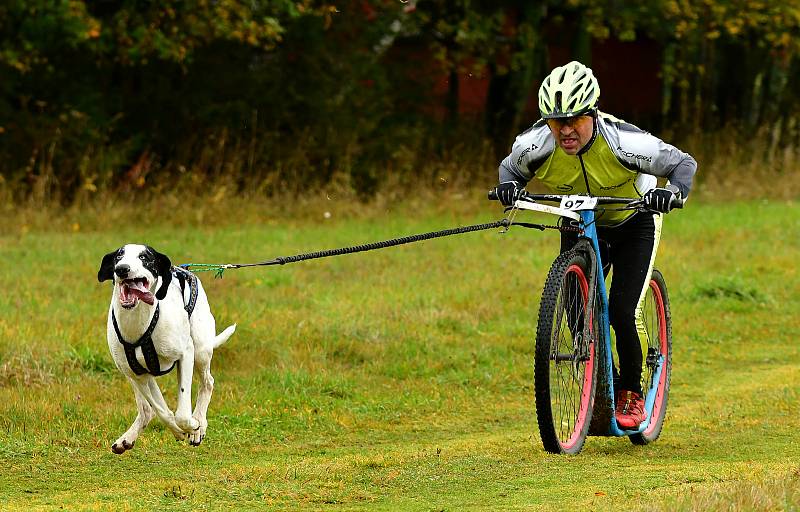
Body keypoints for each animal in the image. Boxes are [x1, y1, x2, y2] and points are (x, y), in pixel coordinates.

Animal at [97, 244, 234, 452]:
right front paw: (178, 431)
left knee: (208, 382)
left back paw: (200, 423)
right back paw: (127, 438)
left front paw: (193, 426)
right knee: (147, 410)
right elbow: (161, 410)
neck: (139, 322)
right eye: (118, 256)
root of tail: (184, 270)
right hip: (132, 376)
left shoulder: (186, 354)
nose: (122, 269)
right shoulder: (139, 375)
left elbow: (183, 414)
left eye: (144, 257)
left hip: (201, 351)